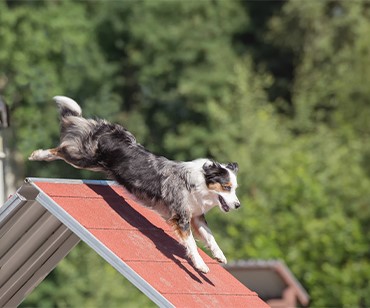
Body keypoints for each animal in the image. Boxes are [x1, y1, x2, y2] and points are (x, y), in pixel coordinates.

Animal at [28, 95, 240, 272]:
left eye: (235, 189)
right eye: (226, 187)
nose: (238, 205)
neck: (199, 184)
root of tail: (108, 128)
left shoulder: (196, 216)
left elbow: (211, 237)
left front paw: (220, 256)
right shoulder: (181, 217)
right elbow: (192, 244)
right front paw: (201, 265)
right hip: (84, 158)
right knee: (61, 148)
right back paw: (38, 154)